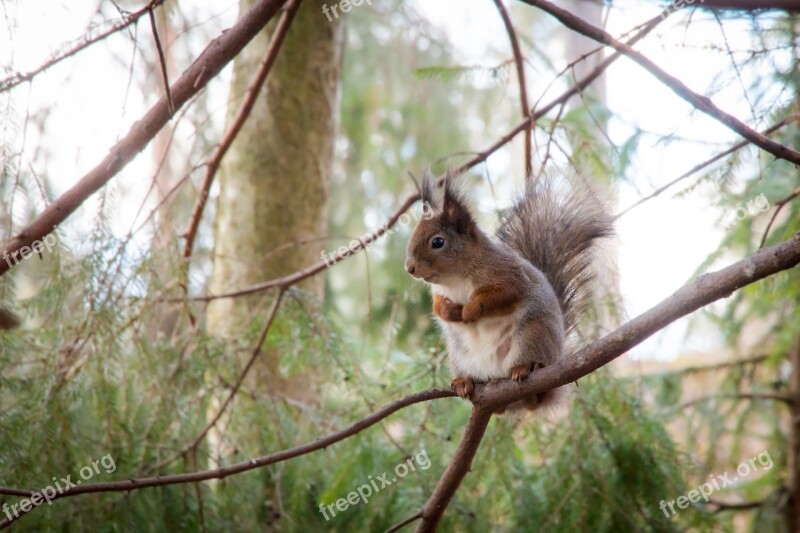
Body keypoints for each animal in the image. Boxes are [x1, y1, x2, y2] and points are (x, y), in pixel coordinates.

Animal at [406, 170, 612, 412]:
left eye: (437, 242)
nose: (409, 268)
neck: (455, 278)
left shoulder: (511, 277)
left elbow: (498, 297)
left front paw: (468, 311)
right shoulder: (439, 291)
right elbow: (437, 305)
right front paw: (449, 311)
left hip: (532, 335)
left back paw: (525, 369)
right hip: (459, 357)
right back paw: (464, 382)